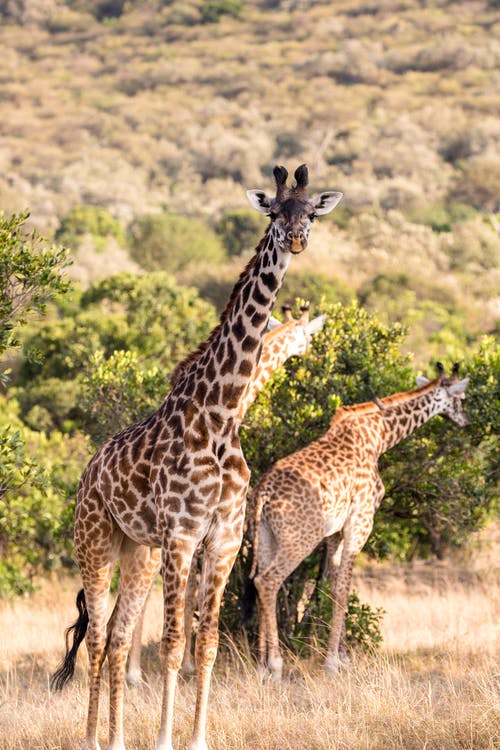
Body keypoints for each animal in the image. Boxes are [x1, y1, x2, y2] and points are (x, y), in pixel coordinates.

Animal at [250, 364, 468, 680]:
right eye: (461, 398)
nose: (465, 420)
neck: (381, 435)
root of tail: (262, 494)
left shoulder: (335, 532)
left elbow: (334, 585)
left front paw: (343, 658)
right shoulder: (361, 520)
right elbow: (344, 588)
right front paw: (332, 662)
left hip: (267, 535)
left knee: (256, 581)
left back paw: (260, 665)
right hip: (299, 538)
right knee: (268, 581)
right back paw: (276, 666)